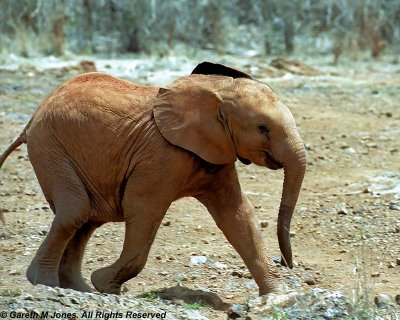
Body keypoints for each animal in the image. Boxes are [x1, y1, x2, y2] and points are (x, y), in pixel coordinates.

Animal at [0, 62, 306, 296]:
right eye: (263, 128)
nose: (288, 263)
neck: (218, 89)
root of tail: (31, 119)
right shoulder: (161, 155)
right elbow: (143, 208)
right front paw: (107, 285)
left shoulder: (215, 153)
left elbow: (238, 215)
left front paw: (278, 296)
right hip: (49, 147)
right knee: (76, 210)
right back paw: (45, 283)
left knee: (88, 218)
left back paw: (77, 288)